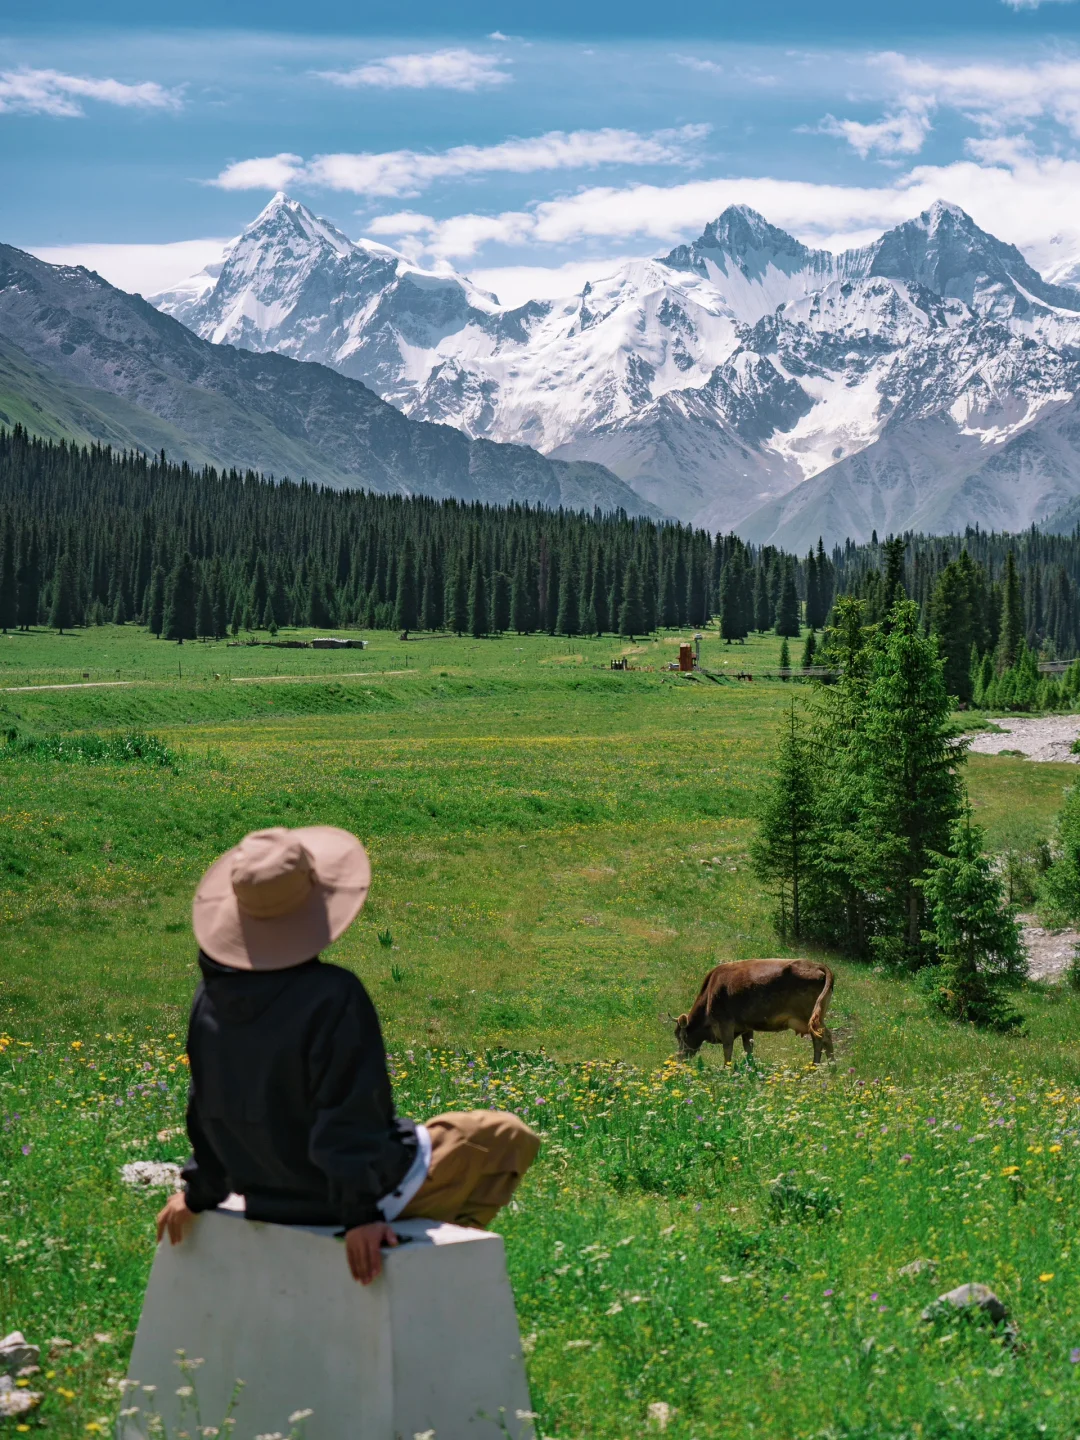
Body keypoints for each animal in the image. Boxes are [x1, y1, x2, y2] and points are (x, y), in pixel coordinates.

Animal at [676, 961, 835, 1065]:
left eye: (681, 1036)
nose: (680, 1058)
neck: (710, 992)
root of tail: (816, 965)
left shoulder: (725, 1024)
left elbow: (728, 1049)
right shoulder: (746, 1027)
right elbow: (748, 1048)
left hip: (809, 1018)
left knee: (822, 1037)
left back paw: (821, 1068)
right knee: (822, 1038)